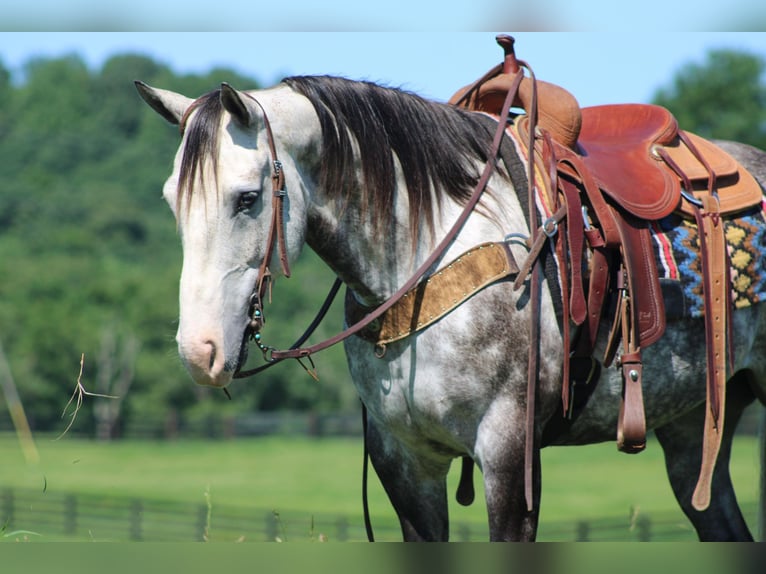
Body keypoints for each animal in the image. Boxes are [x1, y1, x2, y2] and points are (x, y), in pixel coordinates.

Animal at [135, 74, 766, 541]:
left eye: (247, 198)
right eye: (171, 200)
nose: (199, 352)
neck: (426, 255)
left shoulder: (509, 457)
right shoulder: (404, 463)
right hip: (692, 428)